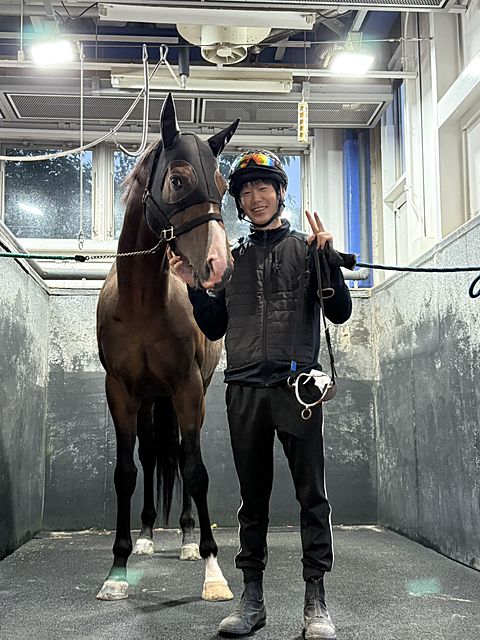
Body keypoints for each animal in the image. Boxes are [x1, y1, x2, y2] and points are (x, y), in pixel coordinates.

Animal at [96, 93, 239, 601]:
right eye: (178, 180)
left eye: (223, 184)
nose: (220, 266)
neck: (141, 302)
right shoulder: (120, 392)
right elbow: (125, 472)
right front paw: (116, 570)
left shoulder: (187, 388)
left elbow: (194, 470)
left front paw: (212, 570)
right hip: (150, 402)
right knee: (153, 456)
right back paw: (144, 537)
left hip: (184, 397)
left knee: (176, 455)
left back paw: (186, 540)